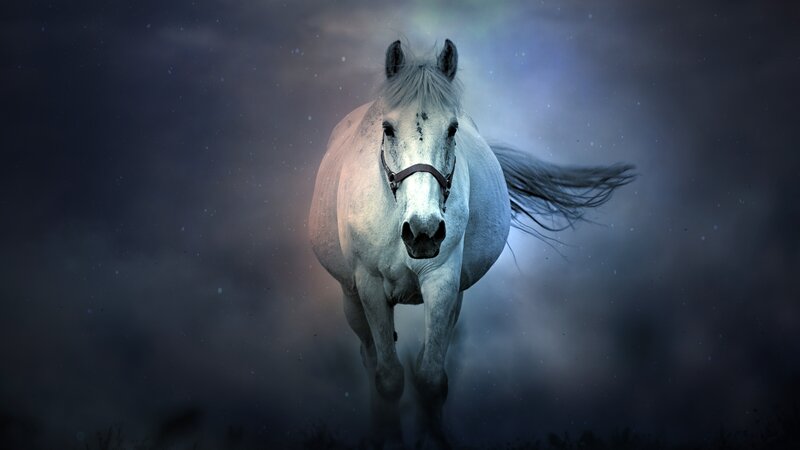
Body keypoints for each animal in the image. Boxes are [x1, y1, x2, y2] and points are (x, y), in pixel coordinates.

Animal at [308, 39, 634, 449]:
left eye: (452, 129)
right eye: (387, 128)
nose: (423, 231)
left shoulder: (443, 281)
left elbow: (431, 378)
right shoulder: (369, 286)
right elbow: (389, 378)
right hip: (351, 298)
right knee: (371, 359)